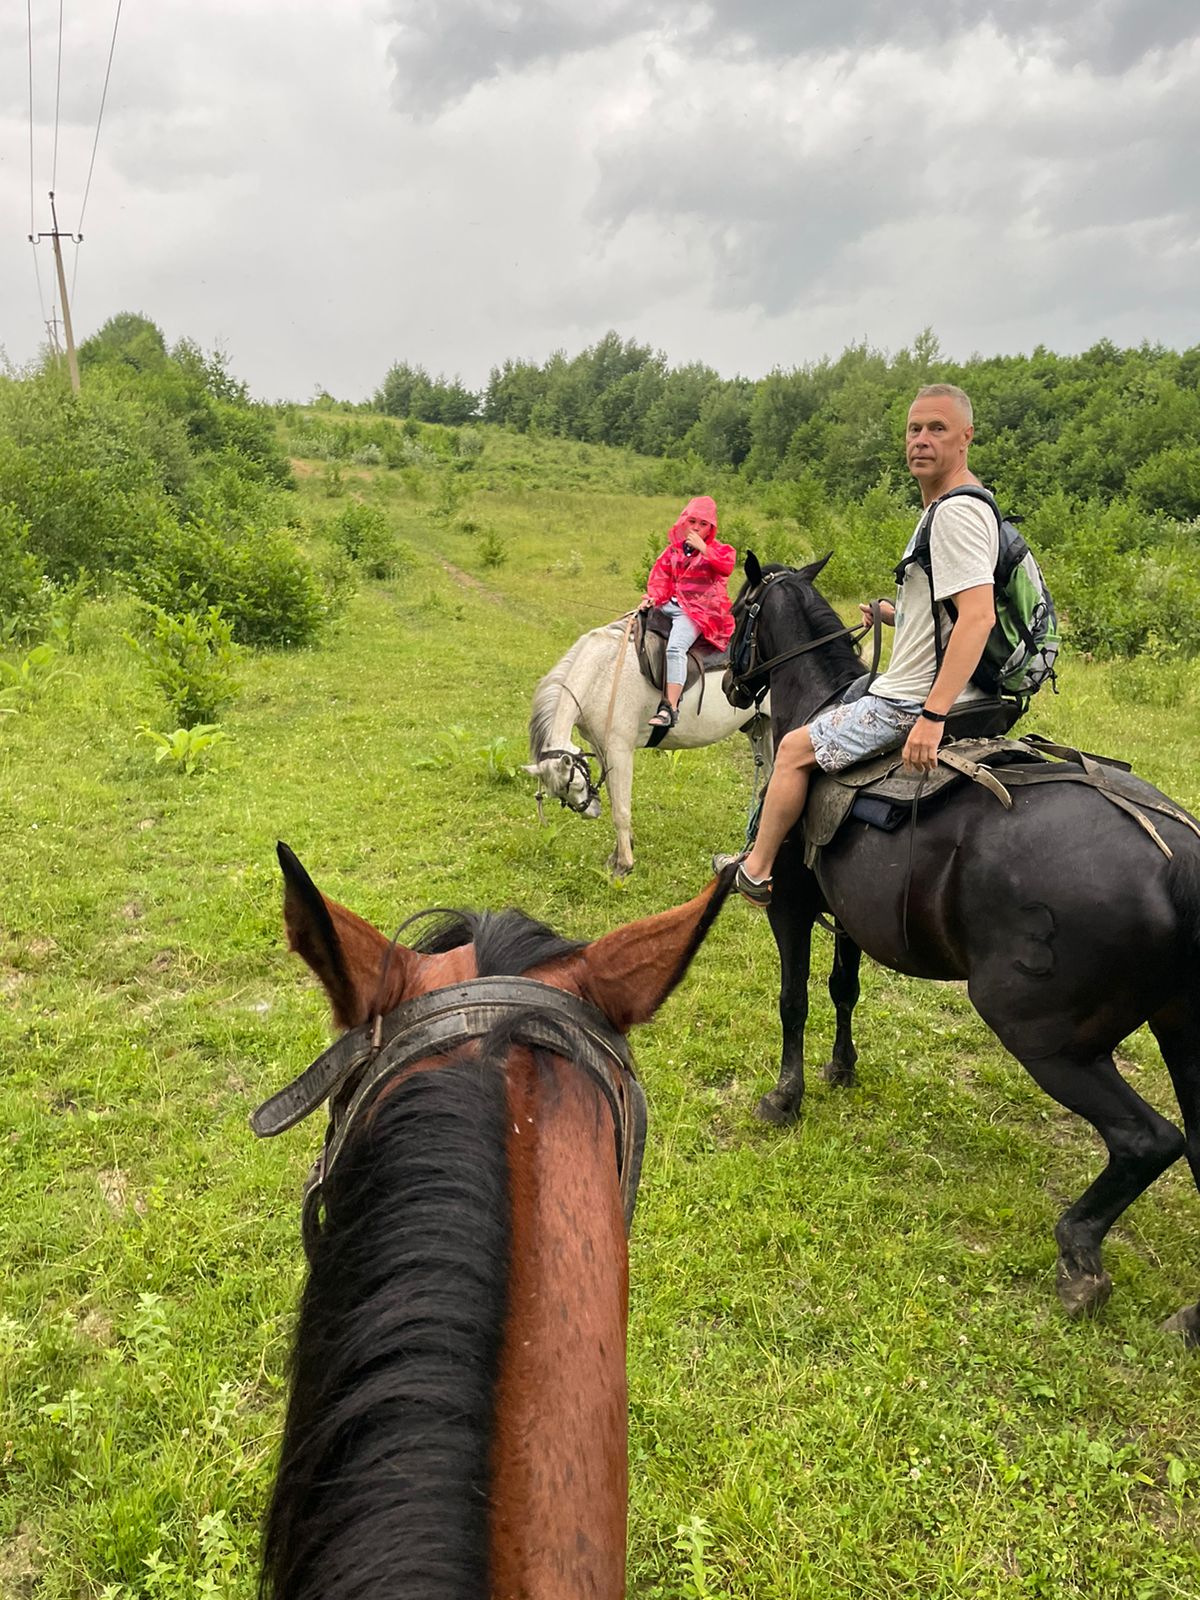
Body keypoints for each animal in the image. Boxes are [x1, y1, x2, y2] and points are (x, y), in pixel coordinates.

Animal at [528, 617, 774, 883]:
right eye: (558, 795)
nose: (589, 813)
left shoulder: (619, 749)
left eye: (576, 784)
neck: (604, 673)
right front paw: (618, 853)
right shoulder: (602, 748)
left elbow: (621, 810)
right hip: (762, 729)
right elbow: (616, 799)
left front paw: (623, 865)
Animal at [732, 550, 1200, 1337]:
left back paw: (1080, 1256)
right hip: (1179, 1035)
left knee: (1149, 1140)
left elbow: (793, 999)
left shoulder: (792, 905)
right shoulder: (850, 914)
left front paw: (784, 1097)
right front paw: (841, 1069)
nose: (733, 682)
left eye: (736, 612)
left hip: (1043, 1034)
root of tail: (1181, 857)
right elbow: (843, 990)